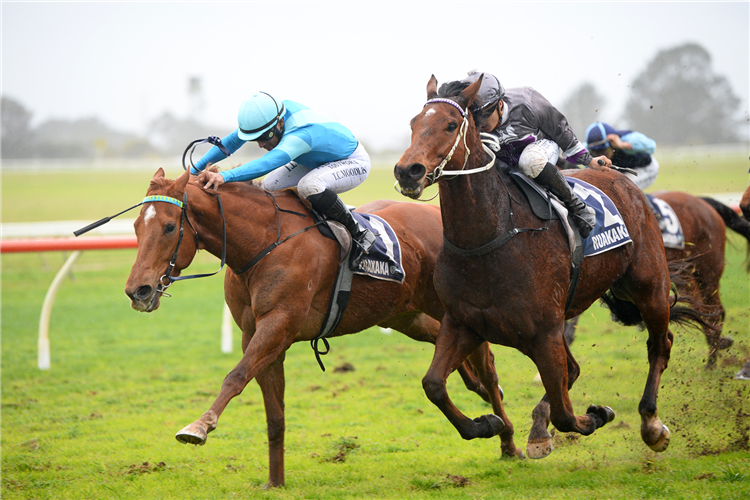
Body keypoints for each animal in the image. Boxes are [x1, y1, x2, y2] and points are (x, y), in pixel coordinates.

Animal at [126, 169, 520, 488]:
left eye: (169, 227)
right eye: (135, 226)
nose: (137, 290)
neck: (263, 244)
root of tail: (440, 218)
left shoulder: (278, 325)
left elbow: (235, 377)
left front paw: (199, 426)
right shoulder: (258, 336)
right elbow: (274, 413)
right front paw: (275, 482)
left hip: (451, 308)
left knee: (486, 364)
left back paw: (506, 437)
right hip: (404, 315)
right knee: (451, 349)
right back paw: (482, 399)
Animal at [394, 75, 716, 460]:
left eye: (450, 124)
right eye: (413, 123)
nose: (407, 171)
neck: (490, 238)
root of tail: (623, 181)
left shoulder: (544, 331)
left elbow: (565, 413)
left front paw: (597, 415)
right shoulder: (463, 322)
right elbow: (433, 385)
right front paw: (488, 424)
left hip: (649, 285)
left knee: (659, 344)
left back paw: (651, 424)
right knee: (576, 370)